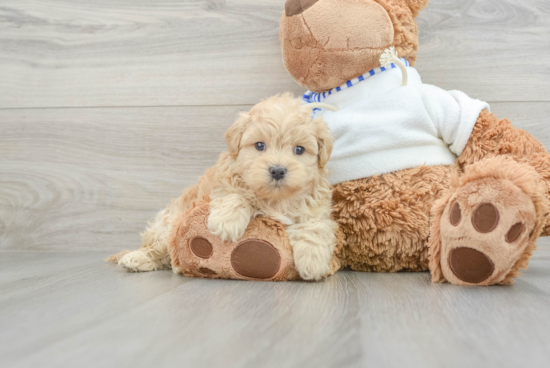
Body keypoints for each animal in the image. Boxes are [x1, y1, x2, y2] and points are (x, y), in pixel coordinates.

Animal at [110, 93, 338, 280]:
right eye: (260, 145)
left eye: (299, 150)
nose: (277, 171)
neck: (274, 198)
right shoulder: (221, 183)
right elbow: (234, 194)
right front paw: (226, 223)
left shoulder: (316, 206)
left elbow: (315, 226)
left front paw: (313, 260)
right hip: (169, 223)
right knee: (160, 248)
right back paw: (137, 259)